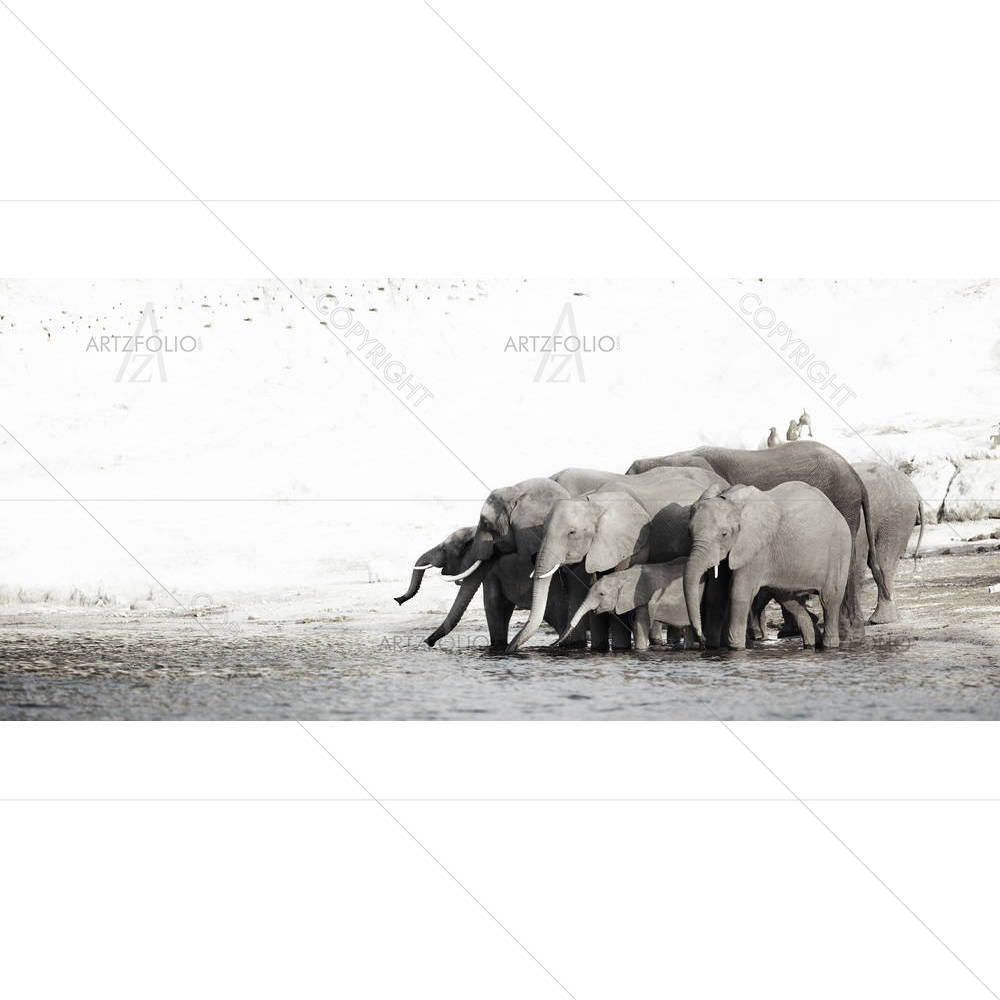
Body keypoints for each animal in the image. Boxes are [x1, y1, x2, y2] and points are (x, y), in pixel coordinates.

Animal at [556, 558, 700, 651]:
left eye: (602, 594)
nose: (555, 644)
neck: (622, 576)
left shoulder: (642, 597)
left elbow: (639, 624)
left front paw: (640, 650)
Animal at [685, 482, 853, 649]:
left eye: (724, 534)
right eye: (689, 532)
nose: (701, 639)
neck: (732, 502)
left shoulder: (756, 549)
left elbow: (739, 593)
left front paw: (736, 648)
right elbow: (716, 594)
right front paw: (713, 647)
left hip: (839, 550)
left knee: (829, 600)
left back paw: (829, 646)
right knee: (790, 601)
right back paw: (811, 644)